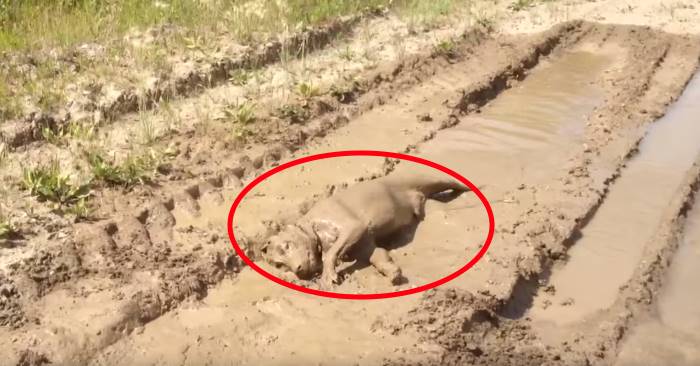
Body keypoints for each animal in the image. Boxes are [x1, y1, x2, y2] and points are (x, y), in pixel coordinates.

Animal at [262, 174, 470, 288]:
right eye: (279, 265)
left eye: (287, 246)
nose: (298, 271)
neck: (312, 227)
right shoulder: (364, 246)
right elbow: (379, 257)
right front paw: (393, 273)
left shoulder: (353, 226)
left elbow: (330, 255)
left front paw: (328, 276)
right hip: (427, 205)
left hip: (429, 179)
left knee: (454, 182)